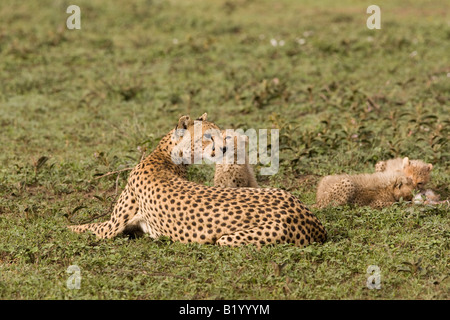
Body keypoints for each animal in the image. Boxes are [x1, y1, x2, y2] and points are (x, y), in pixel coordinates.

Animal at [68, 114, 326, 248]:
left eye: (222, 135)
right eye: (208, 136)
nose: (223, 148)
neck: (164, 156)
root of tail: (314, 225)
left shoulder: (110, 228)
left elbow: (85, 227)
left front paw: (66, 227)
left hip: (227, 239)